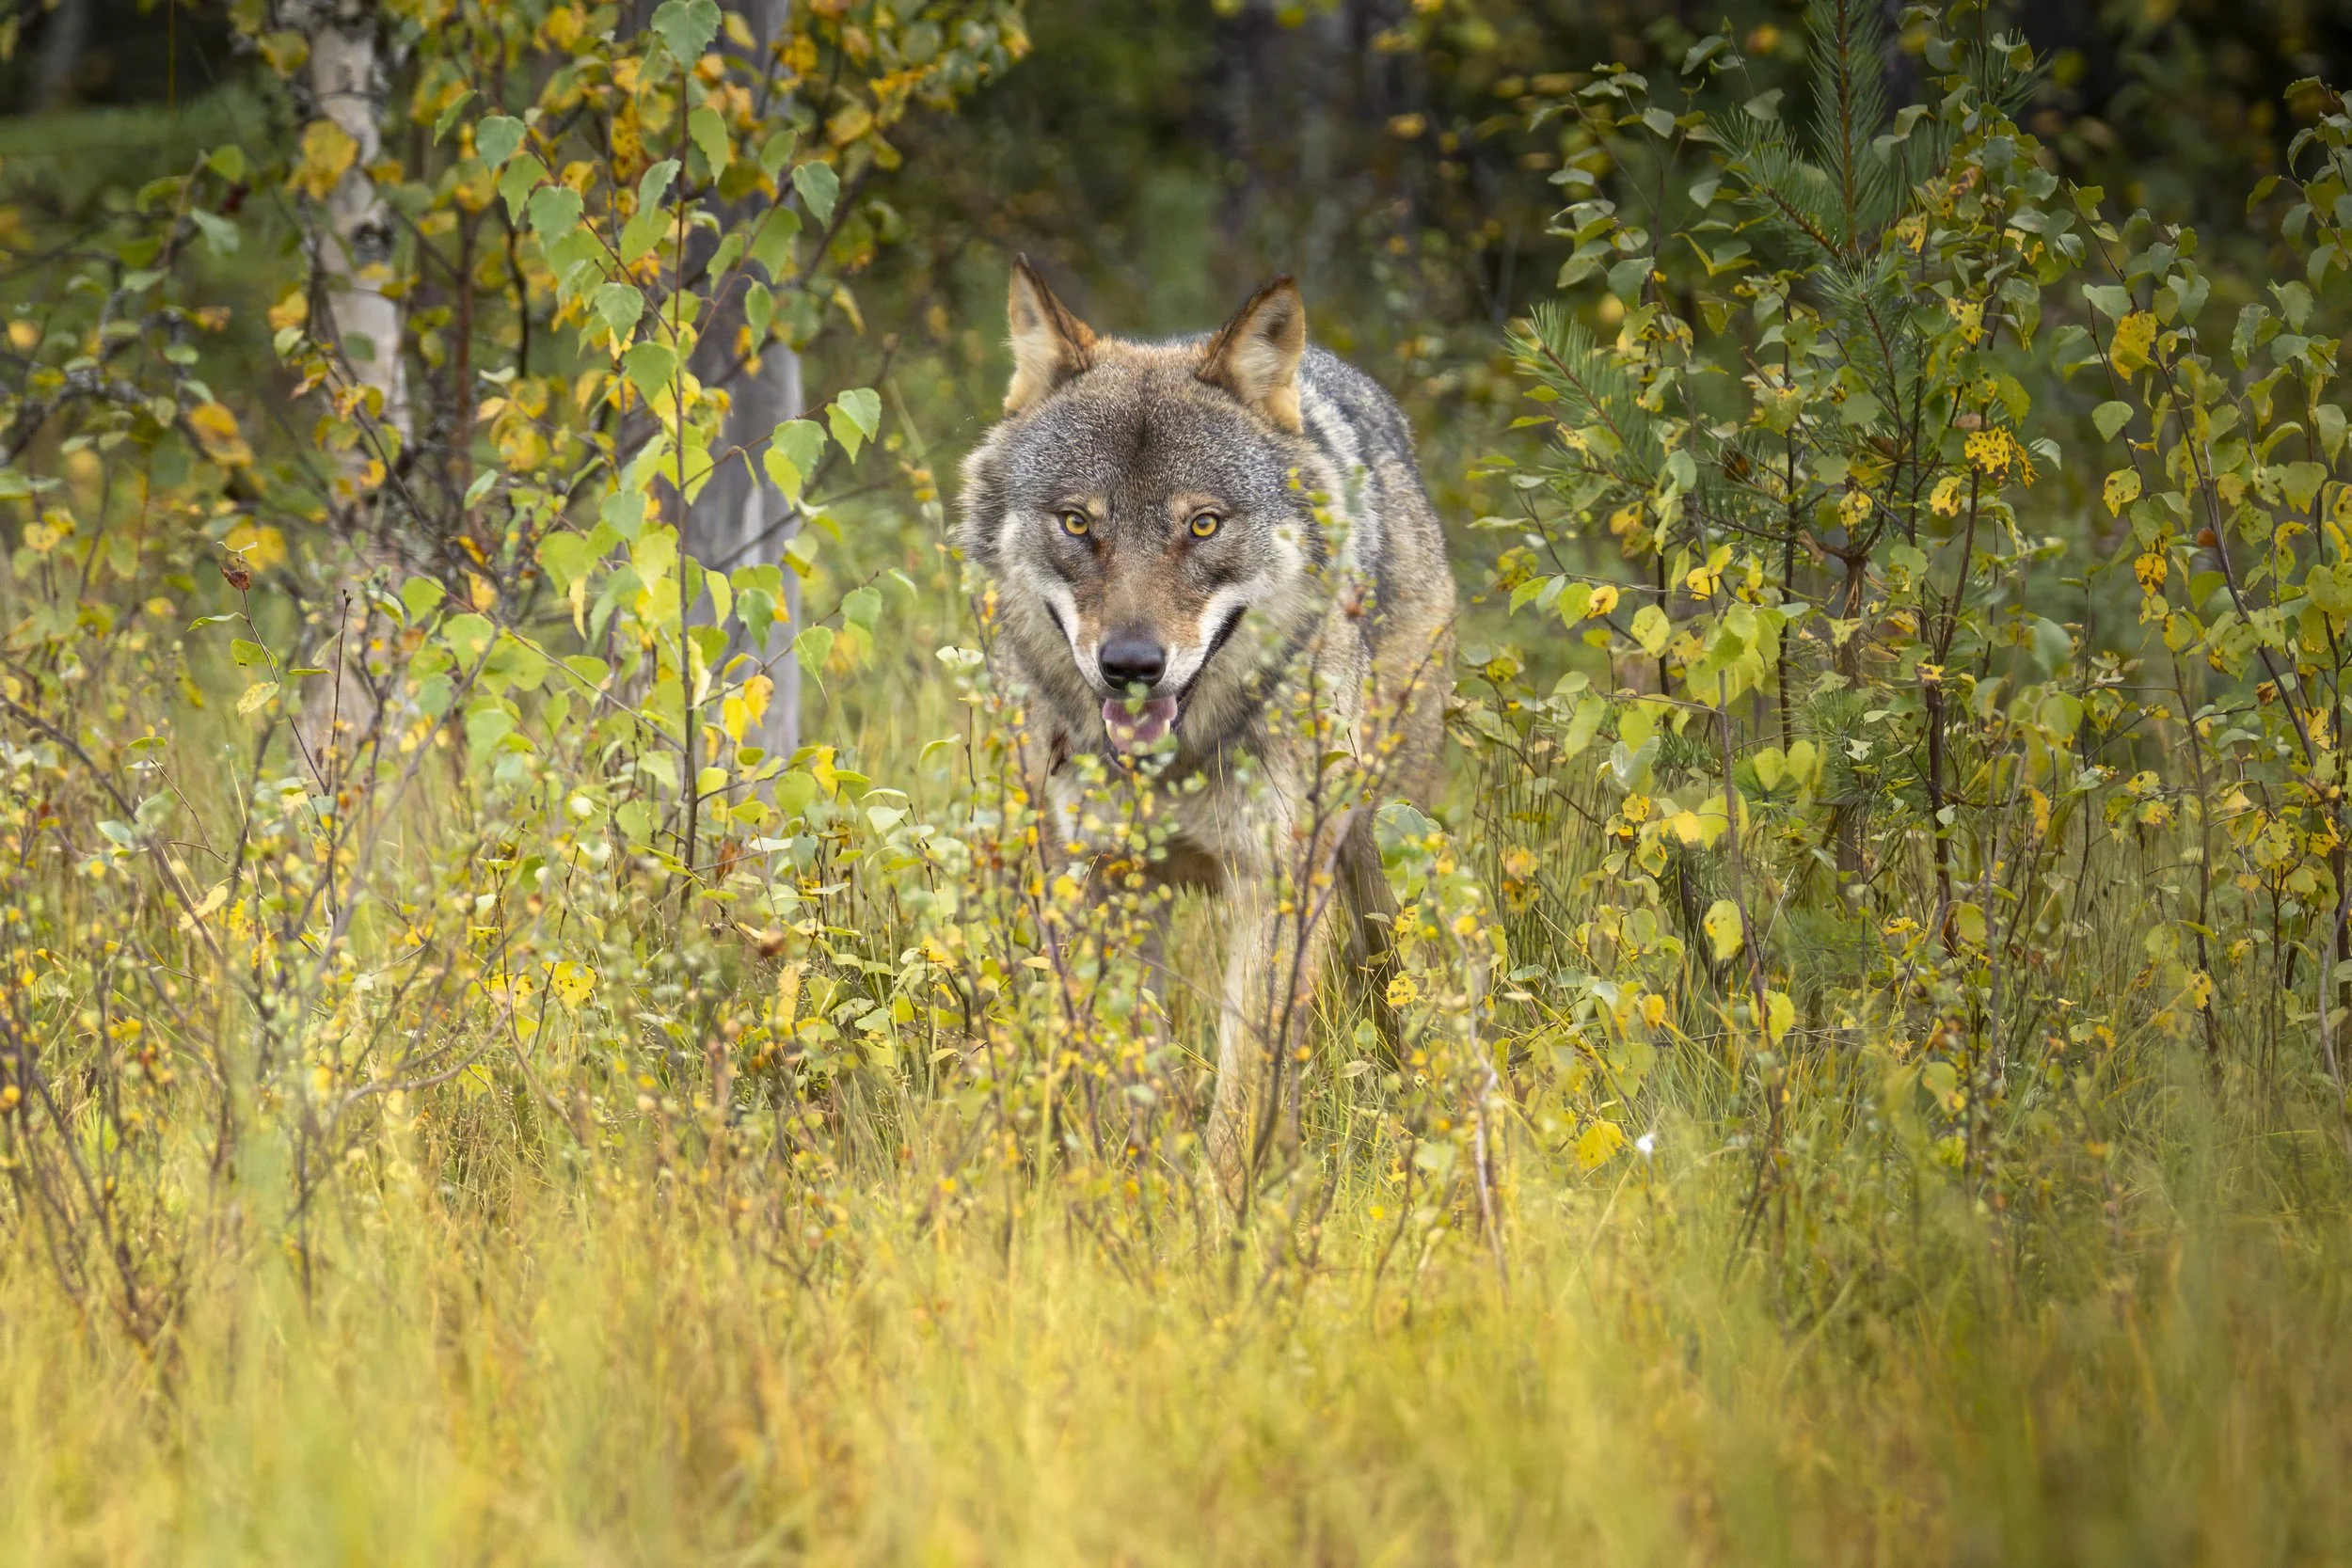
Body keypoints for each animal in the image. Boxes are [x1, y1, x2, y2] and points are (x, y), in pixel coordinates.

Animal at [956, 258, 1457, 1185]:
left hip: (1373, 844)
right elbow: (1124, 1064)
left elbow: (1246, 1079)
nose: (1130, 665)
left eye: (1202, 524)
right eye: (1078, 521)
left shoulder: (1278, 880)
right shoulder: (1098, 878)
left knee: (1383, 977)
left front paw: (1230, 1202)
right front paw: (1127, 1186)